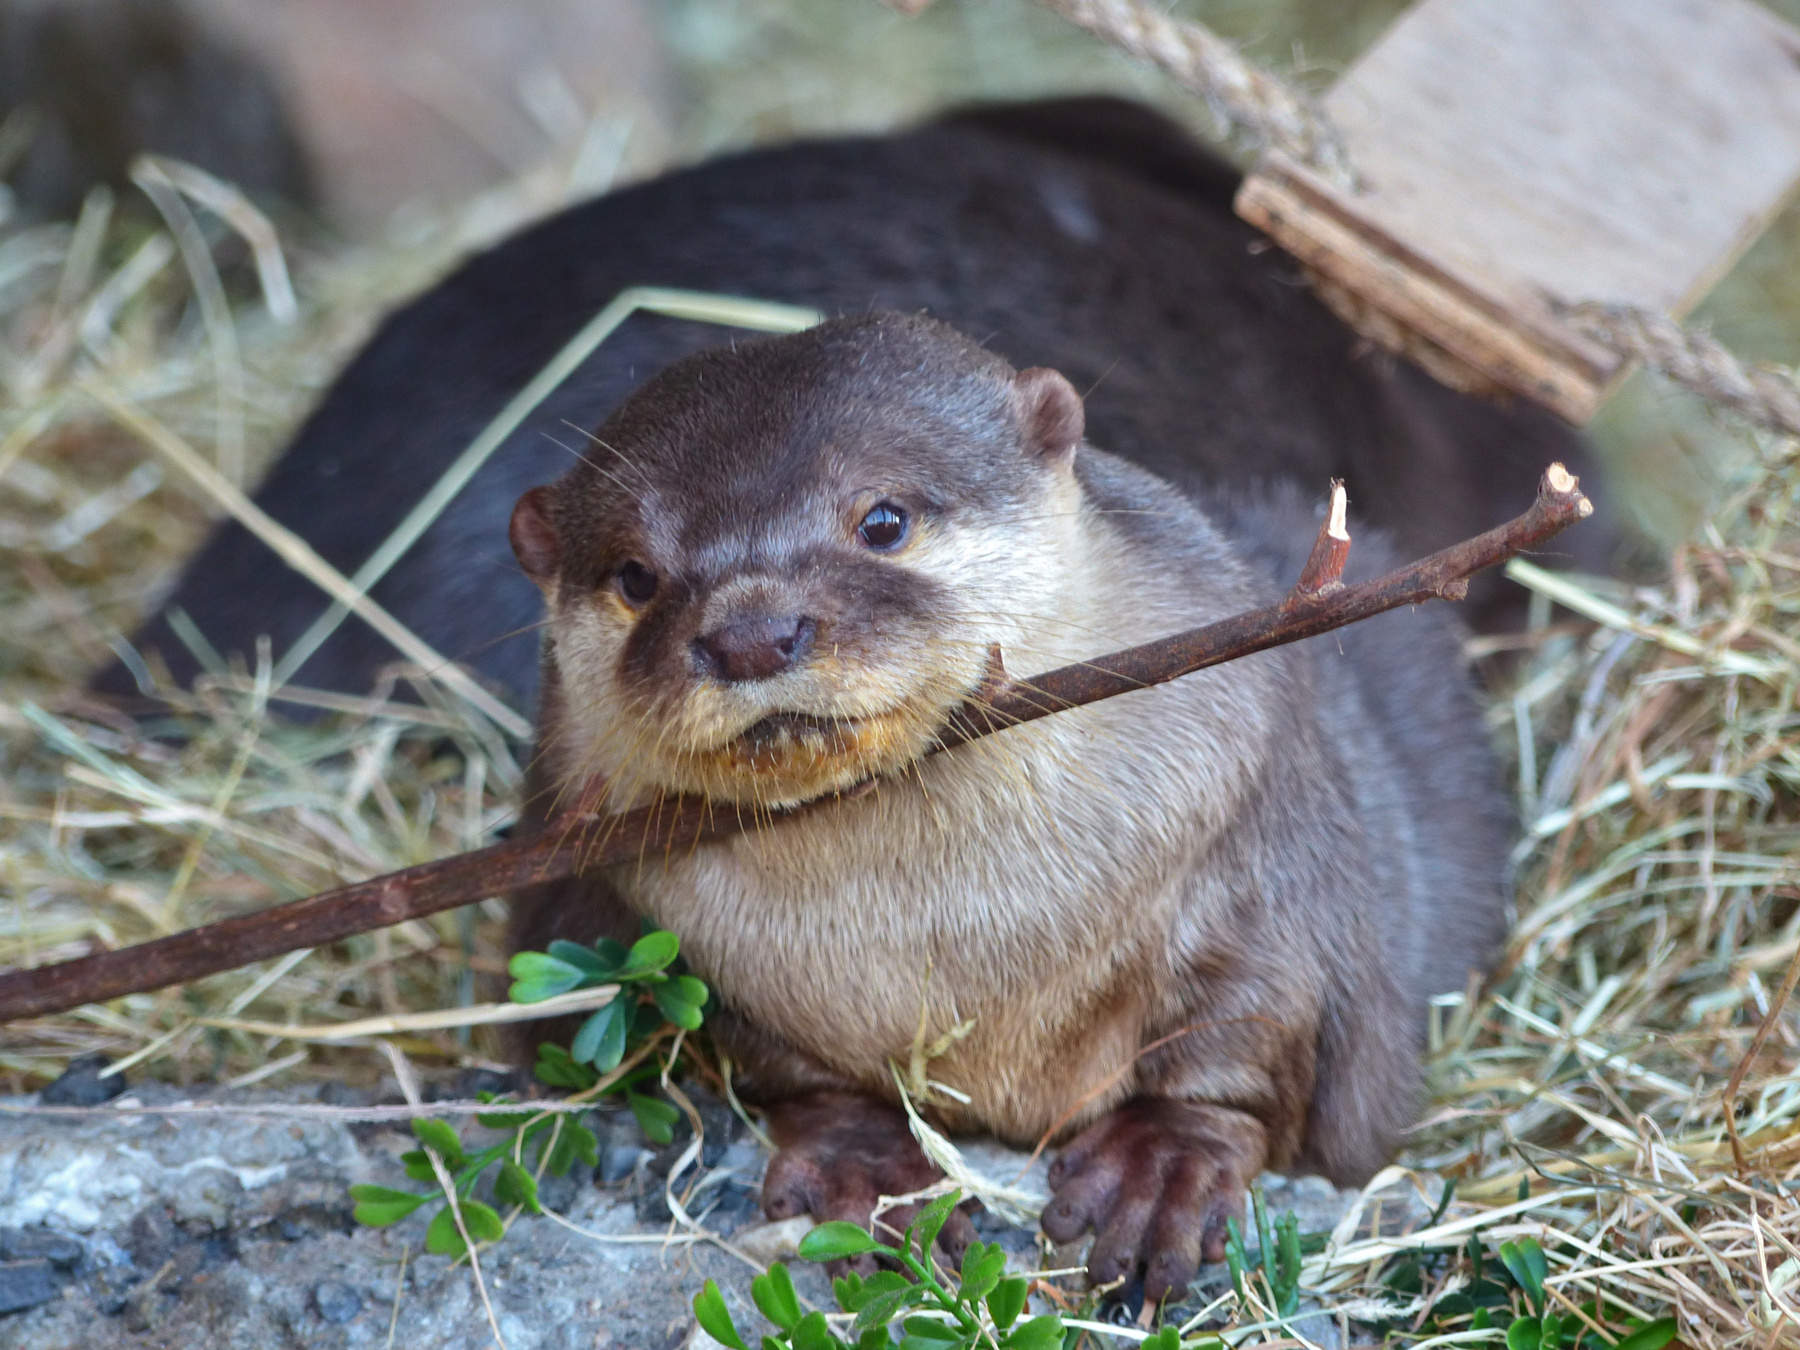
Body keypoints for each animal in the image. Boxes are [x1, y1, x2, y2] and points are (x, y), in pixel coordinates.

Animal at [505, 311, 1513, 1303]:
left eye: (883, 520)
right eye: (636, 577)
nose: (751, 635)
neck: (974, 939)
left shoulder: (1260, 849)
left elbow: (1250, 1033)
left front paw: (1163, 1166)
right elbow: (788, 1074)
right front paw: (866, 1168)